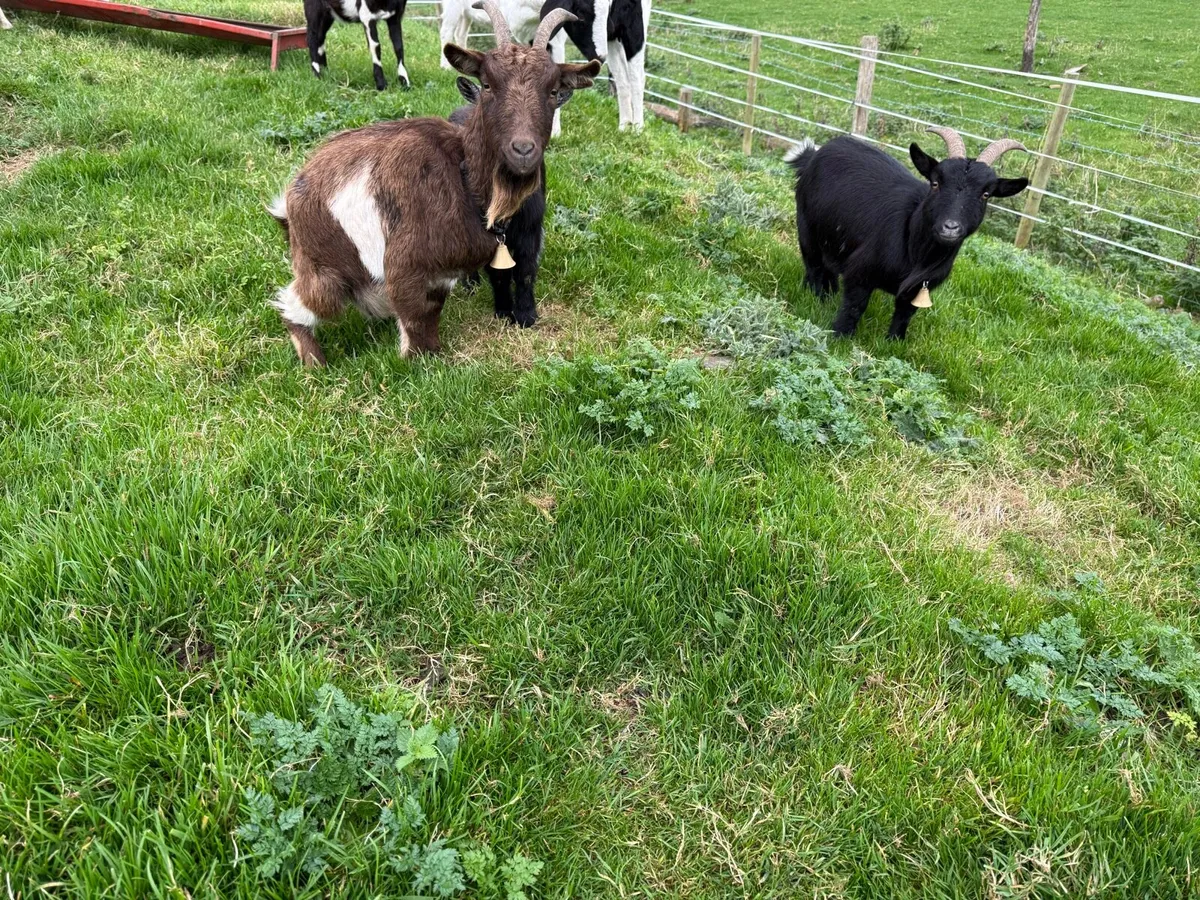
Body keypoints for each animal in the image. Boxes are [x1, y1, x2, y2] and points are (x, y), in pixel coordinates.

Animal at [450, 76, 548, 326]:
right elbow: (498, 274)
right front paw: (504, 311)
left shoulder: (531, 228)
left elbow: (525, 270)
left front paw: (526, 314)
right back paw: (471, 284)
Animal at [539, 0, 649, 131]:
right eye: (580, 12)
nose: (599, 57)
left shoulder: (555, 39)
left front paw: (554, 131)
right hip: (613, 39)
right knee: (622, 78)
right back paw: (624, 127)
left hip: (634, 27)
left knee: (637, 77)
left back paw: (637, 129)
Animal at [785, 129, 1028, 340]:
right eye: (935, 183)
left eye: (986, 194)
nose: (950, 227)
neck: (913, 246)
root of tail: (814, 154)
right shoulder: (860, 273)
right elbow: (854, 307)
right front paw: (839, 336)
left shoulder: (918, 289)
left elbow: (904, 316)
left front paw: (894, 342)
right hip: (806, 226)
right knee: (814, 265)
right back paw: (816, 297)